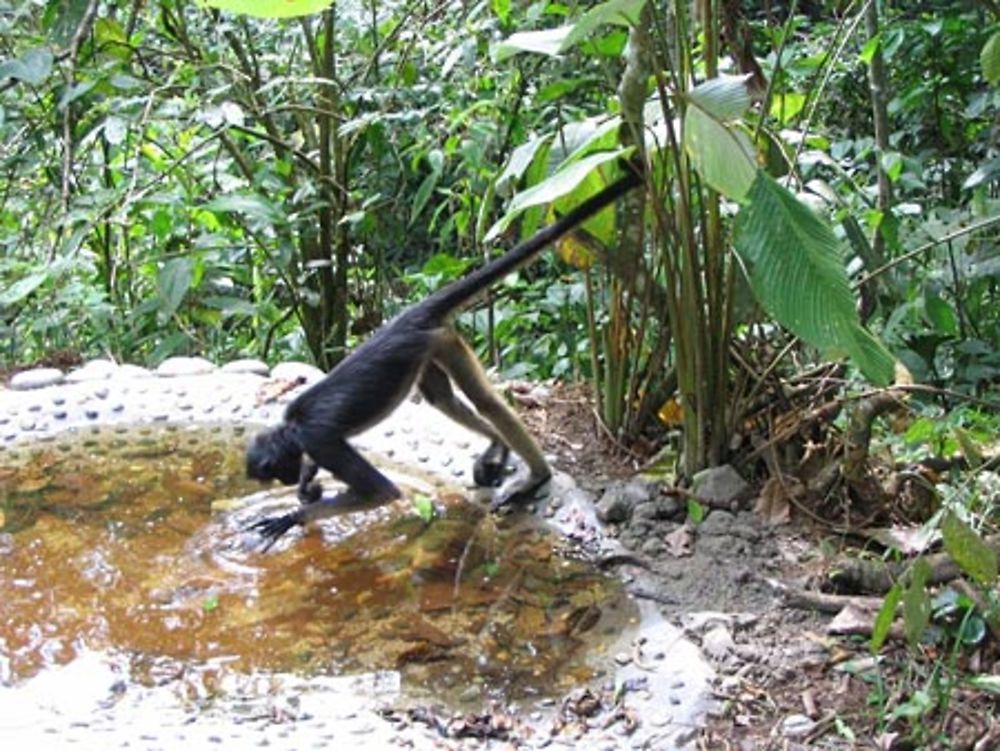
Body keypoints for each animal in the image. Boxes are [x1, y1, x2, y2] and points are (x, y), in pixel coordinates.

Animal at [246, 164, 644, 548]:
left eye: (274, 472)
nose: (285, 480)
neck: (292, 427)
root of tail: (409, 317)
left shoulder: (318, 438)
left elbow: (381, 493)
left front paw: (290, 516)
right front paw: (306, 488)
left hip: (441, 341)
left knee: (484, 401)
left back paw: (536, 474)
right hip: (432, 350)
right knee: (442, 398)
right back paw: (497, 446)